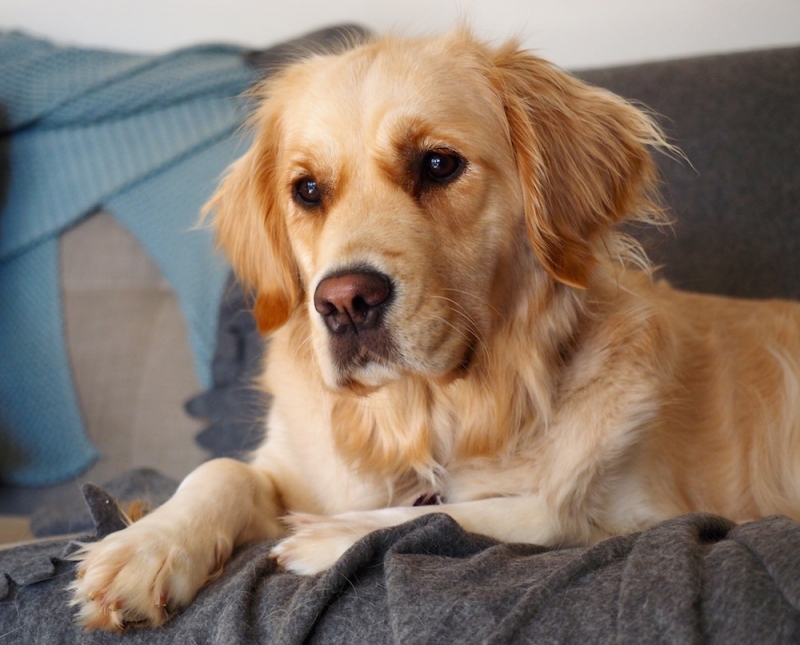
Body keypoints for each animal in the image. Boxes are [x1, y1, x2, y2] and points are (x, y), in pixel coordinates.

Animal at [72, 31, 800, 628]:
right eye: (307, 190)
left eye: (438, 164)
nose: (343, 302)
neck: (424, 421)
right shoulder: (291, 463)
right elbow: (219, 469)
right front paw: (143, 547)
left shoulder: (640, 512)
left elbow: (521, 508)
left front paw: (327, 536)